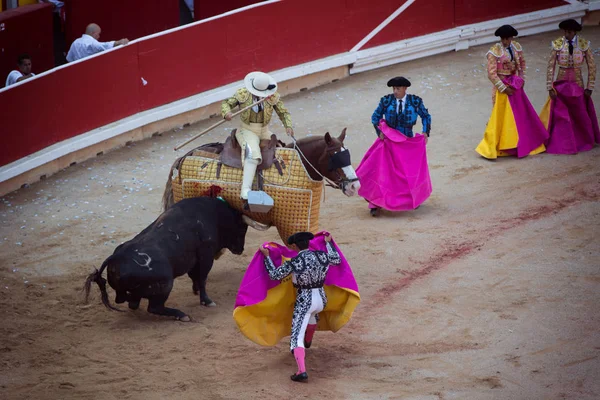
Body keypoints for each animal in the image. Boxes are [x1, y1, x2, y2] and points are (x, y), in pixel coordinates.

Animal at [83, 197, 264, 322]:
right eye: (241, 228)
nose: (240, 249)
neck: (213, 214)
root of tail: (117, 257)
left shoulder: (193, 260)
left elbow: (195, 277)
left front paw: (195, 290)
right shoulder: (205, 255)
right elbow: (202, 278)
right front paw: (206, 301)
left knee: (127, 301)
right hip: (166, 284)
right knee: (153, 307)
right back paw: (182, 315)